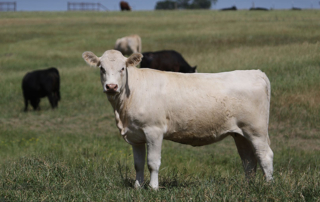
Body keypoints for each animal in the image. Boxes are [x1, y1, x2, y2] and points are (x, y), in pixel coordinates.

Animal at [82, 50, 272, 189]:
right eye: (101, 68)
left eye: (122, 68)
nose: (111, 86)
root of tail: (256, 72)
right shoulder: (136, 135)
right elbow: (138, 164)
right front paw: (137, 187)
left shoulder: (154, 130)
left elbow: (152, 162)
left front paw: (153, 188)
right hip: (240, 134)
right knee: (248, 160)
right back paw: (248, 186)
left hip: (256, 131)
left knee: (265, 155)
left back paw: (268, 186)